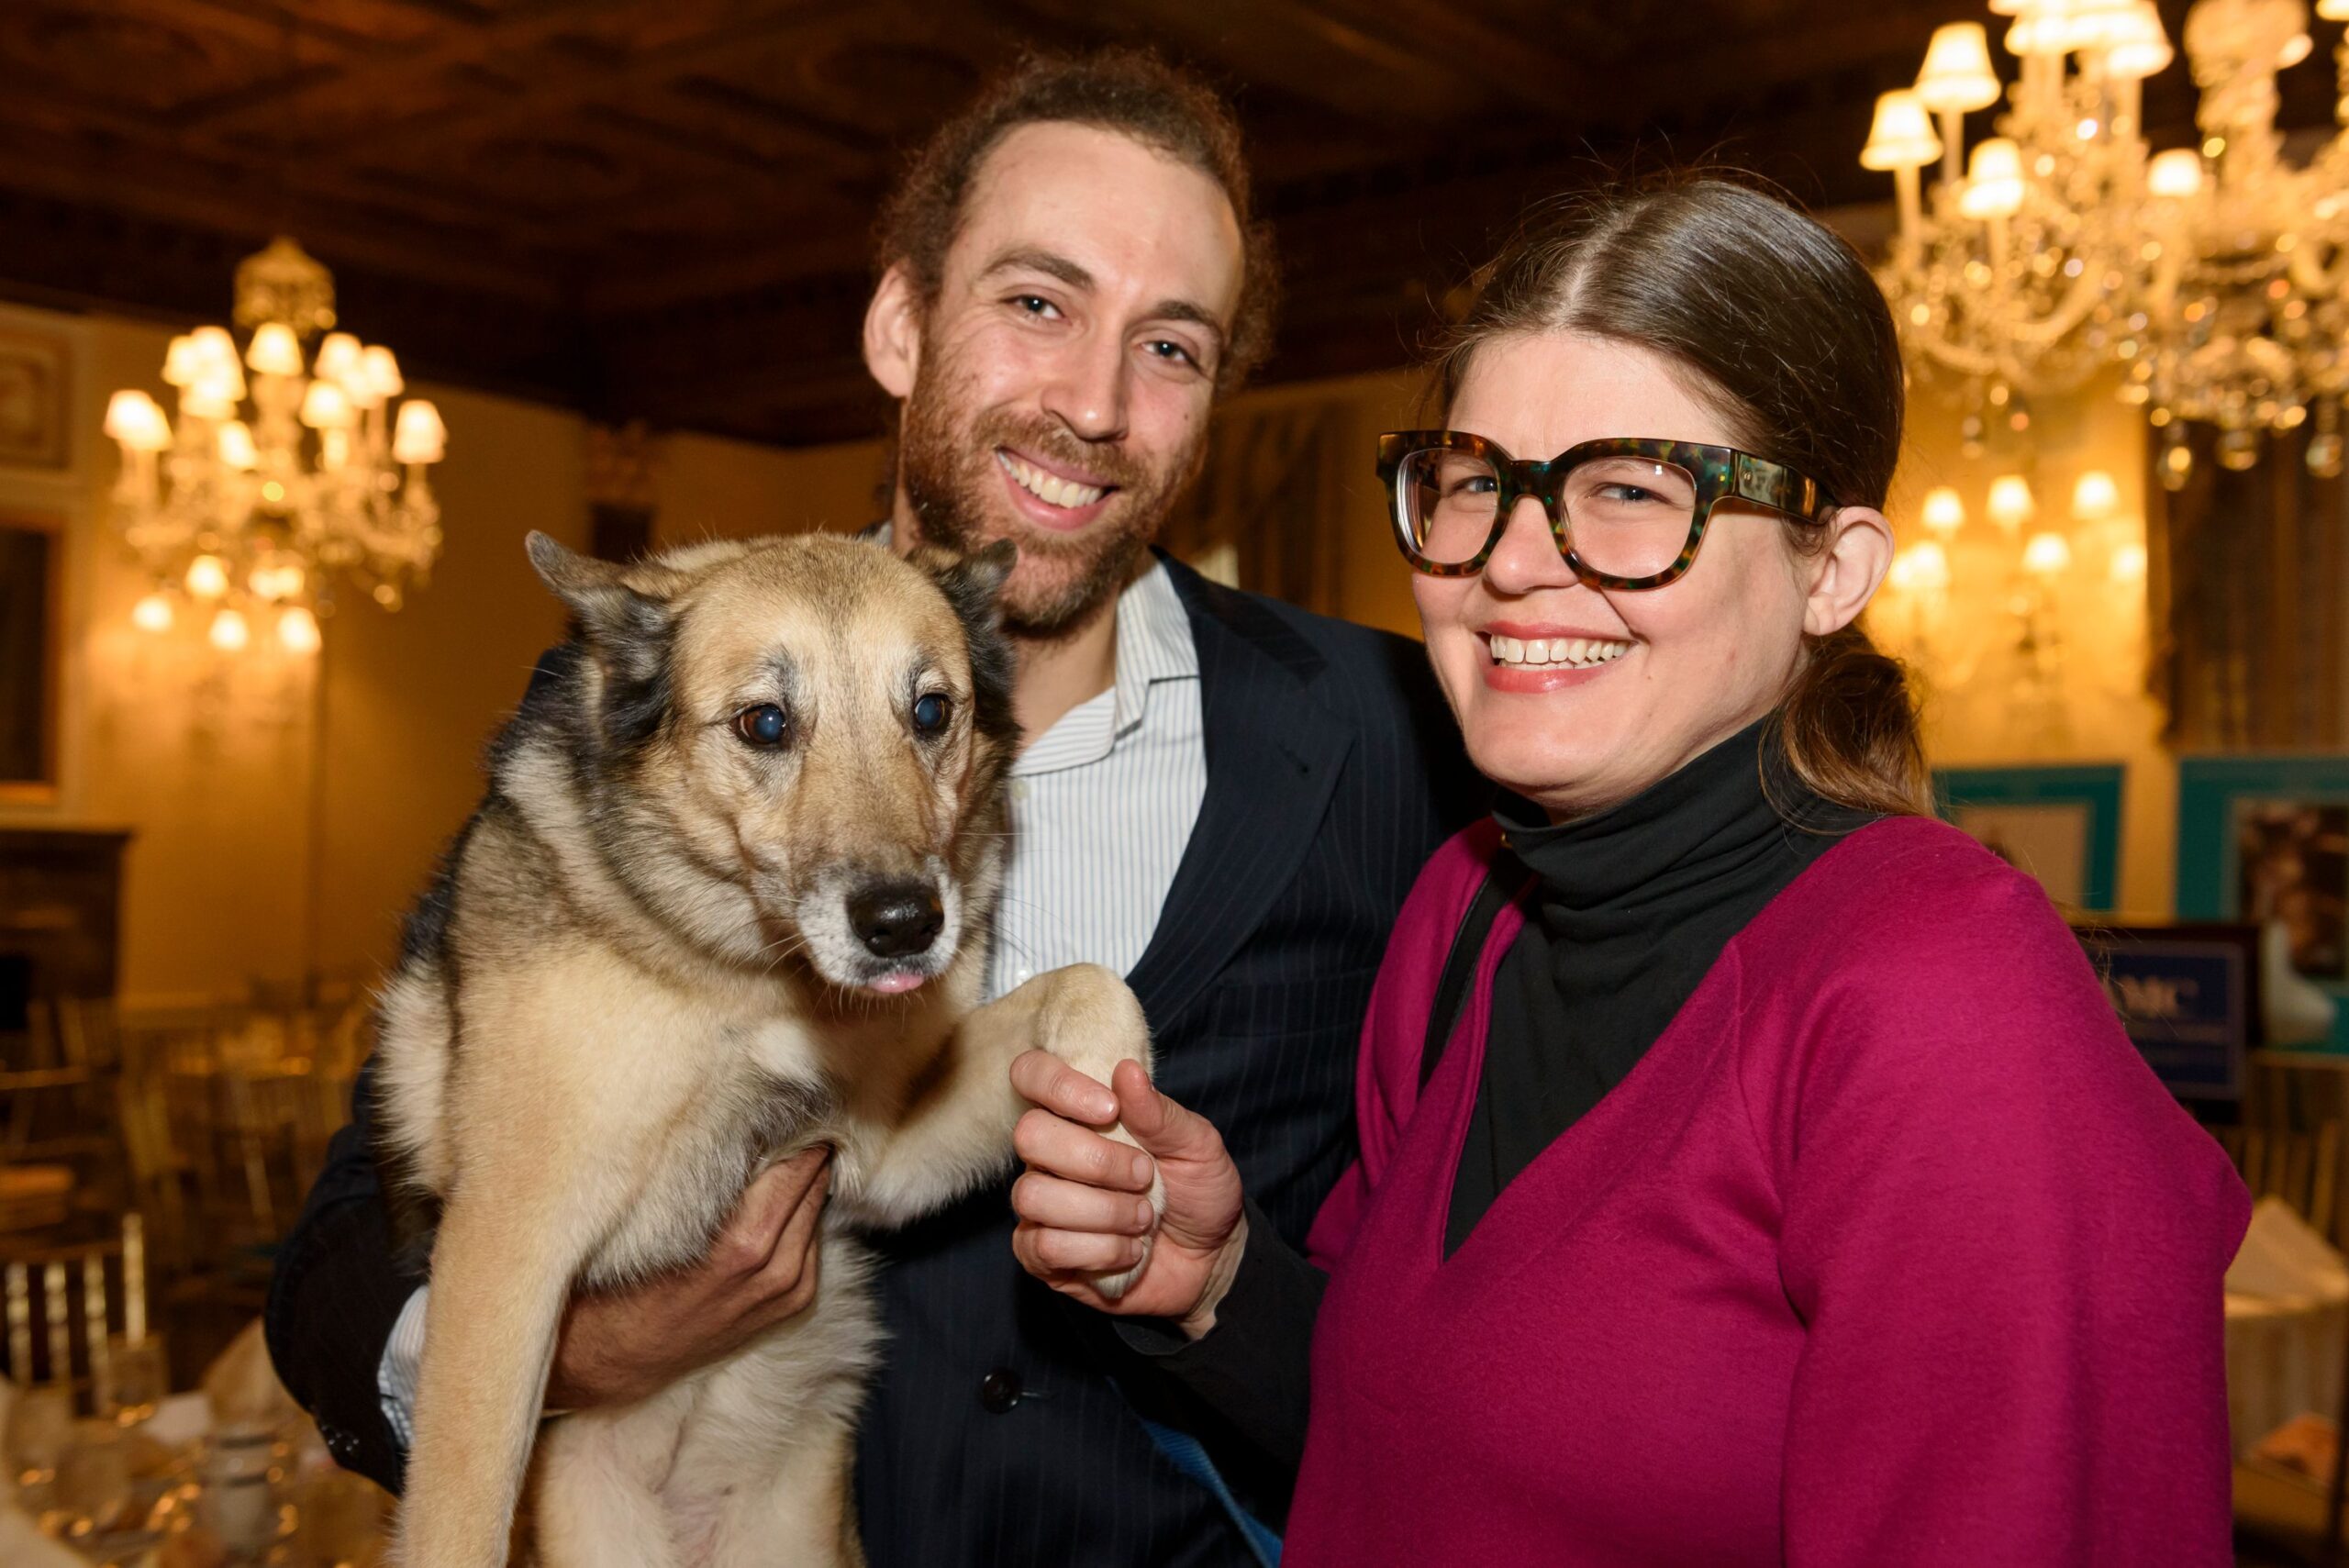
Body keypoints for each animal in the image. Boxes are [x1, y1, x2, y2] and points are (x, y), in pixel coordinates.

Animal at [368, 532, 1164, 1558]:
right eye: (766, 723)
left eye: (931, 710)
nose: (904, 925)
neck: (755, 979)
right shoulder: (507, 1246)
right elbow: (459, 1519)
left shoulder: (879, 1156)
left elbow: (1093, 982)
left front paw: (1118, 1166)